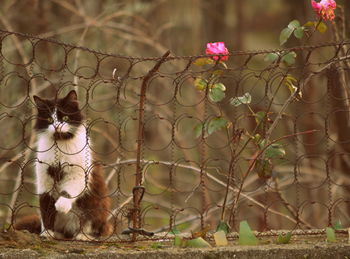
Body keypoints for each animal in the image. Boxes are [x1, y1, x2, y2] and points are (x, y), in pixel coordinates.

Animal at [13, 91, 111, 240]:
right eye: (49, 119)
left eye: (65, 117)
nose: (56, 126)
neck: (59, 145)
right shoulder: (44, 178)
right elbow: (46, 207)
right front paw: (47, 233)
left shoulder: (79, 173)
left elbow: (69, 190)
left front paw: (61, 205)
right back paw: (58, 234)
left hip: (96, 207)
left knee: (92, 227)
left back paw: (82, 236)